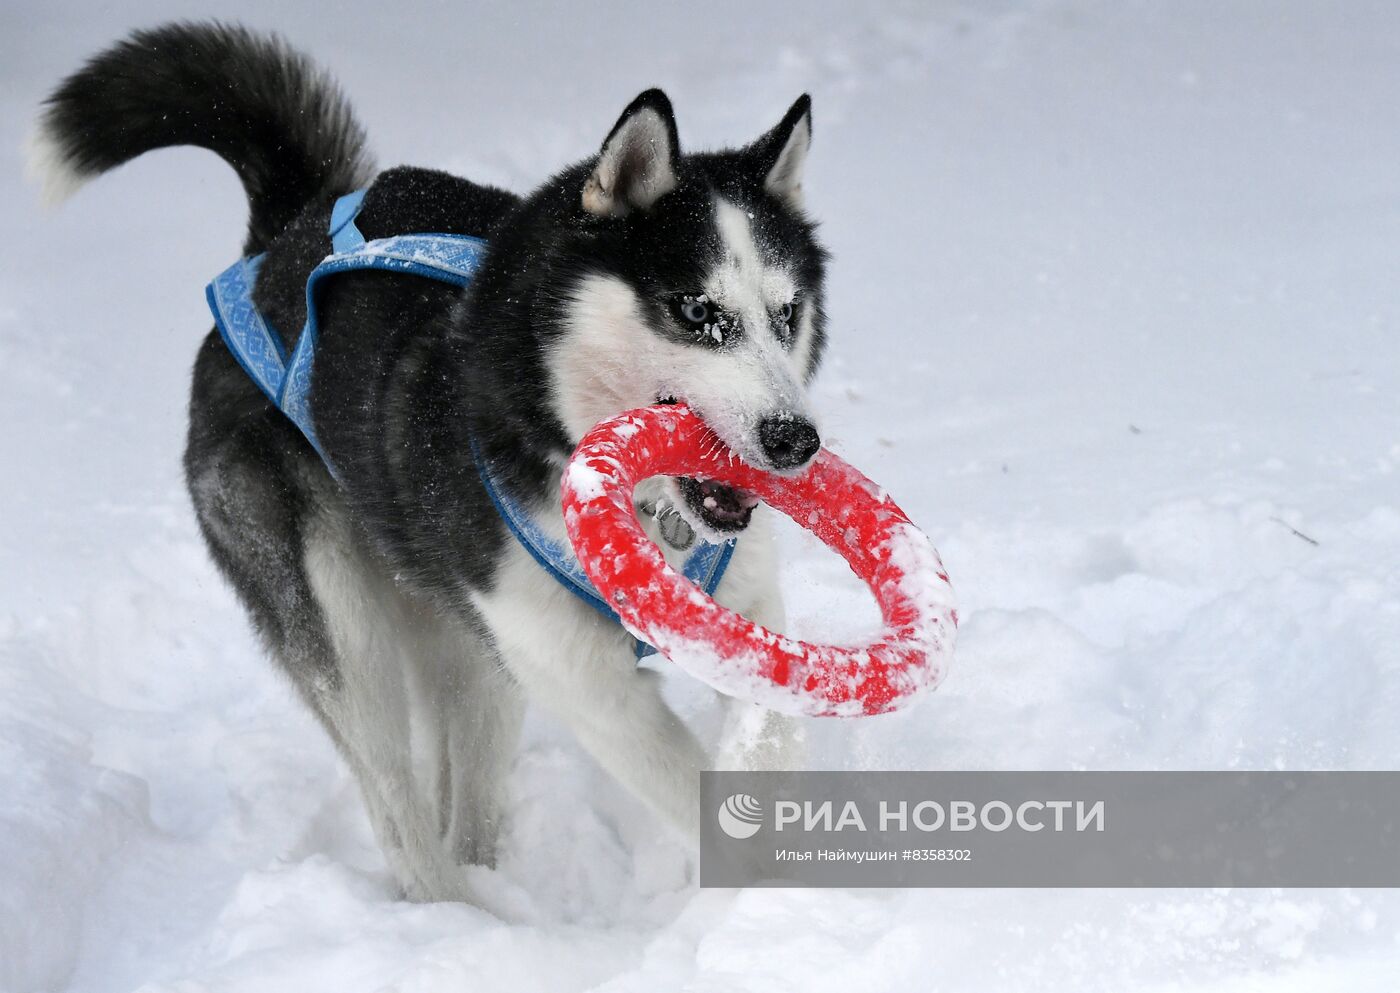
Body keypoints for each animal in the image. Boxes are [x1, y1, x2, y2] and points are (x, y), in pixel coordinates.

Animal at [32, 21, 823, 907]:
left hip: (467, 649)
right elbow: (682, 780)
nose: (796, 439)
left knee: (461, 807)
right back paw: (460, 913)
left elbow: (769, 729)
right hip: (344, 624)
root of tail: (279, 242)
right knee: (400, 814)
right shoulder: (583, 680)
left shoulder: (741, 611)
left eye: (787, 313)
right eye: (697, 311)